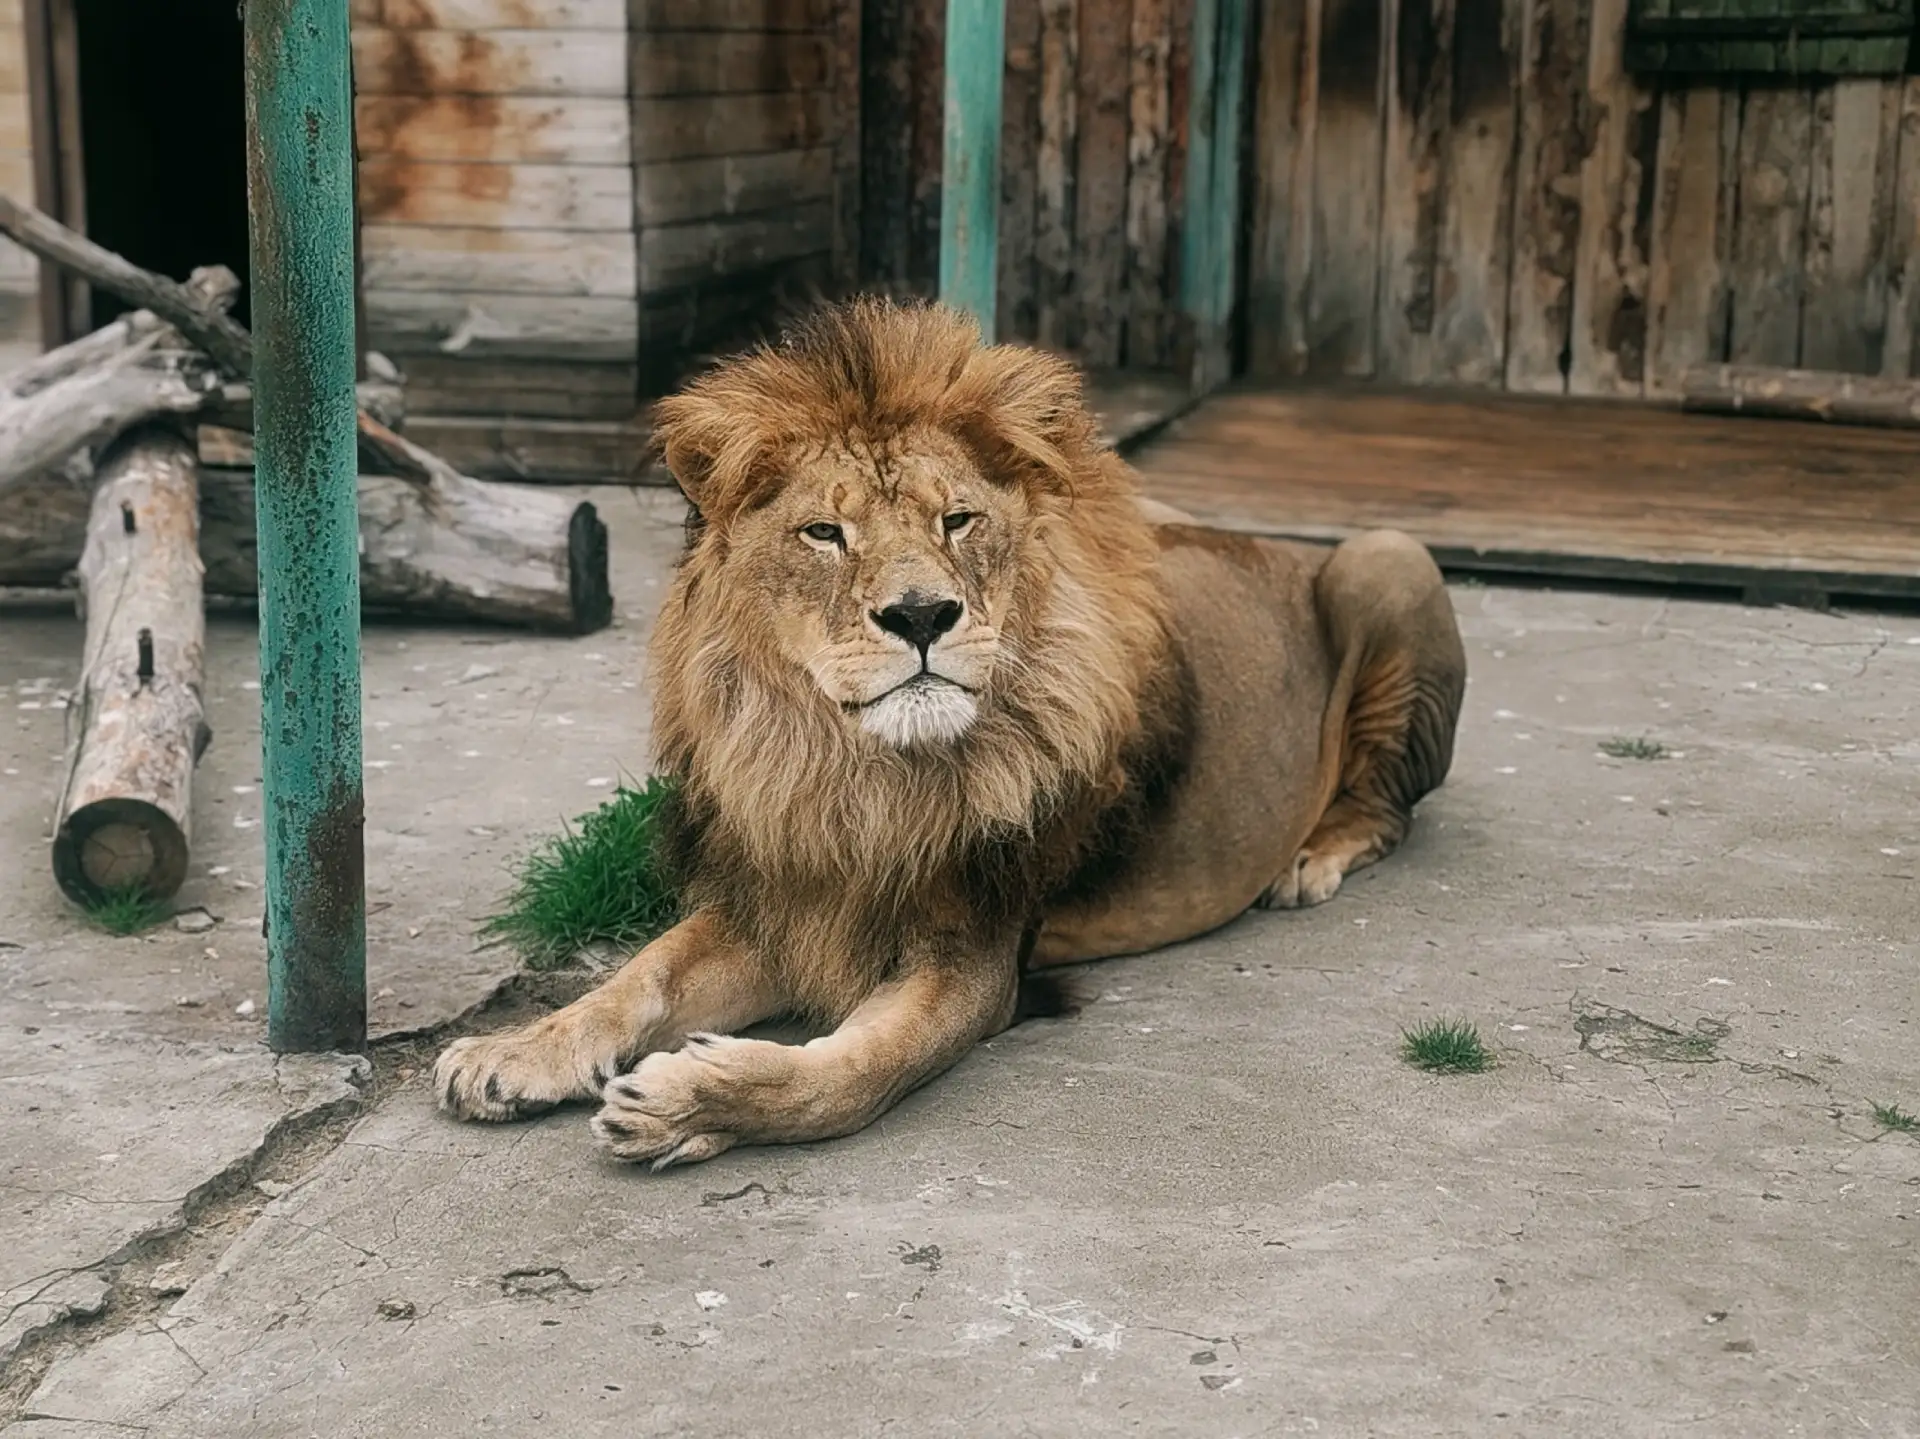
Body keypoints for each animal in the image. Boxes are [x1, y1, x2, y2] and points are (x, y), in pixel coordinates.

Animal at [434, 298, 1466, 1167]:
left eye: (957, 520)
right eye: (824, 534)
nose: (922, 613)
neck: (859, 777)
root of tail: (1278, 545)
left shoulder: (977, 958)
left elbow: (850, 1076)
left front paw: (689, 1102)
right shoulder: (791, 891)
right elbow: (638, 975)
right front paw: (513, 1050)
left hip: (1389, 558)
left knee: (1390, 808)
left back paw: (1309, 857)